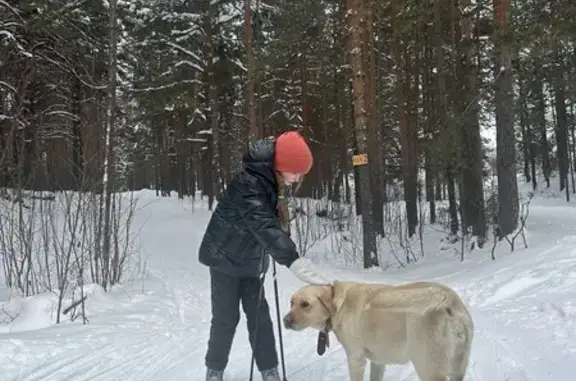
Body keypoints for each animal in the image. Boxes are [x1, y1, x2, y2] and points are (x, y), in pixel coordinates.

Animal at [282, 280, 472, 380]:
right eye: (291, 303)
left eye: (305, 304)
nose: (285, 321)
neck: (337, 304)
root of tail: (449, 303)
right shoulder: (378, 361)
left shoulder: (355, 358)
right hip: (458, 368)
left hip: (428, 366)